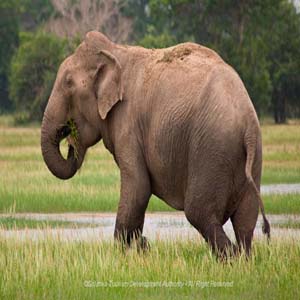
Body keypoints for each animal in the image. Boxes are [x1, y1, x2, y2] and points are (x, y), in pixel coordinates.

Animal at [40, 31, 270, 258]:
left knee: (199, 213)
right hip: (249, 156)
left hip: (211, 150)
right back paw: (243, 259)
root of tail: (248, 124)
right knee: (244, 221)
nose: (69, 134)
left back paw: (231, 258)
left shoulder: (128, 124)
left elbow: (138, 187)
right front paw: (138, 247)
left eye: (68, 83)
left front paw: (129, 251)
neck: (115, 51)